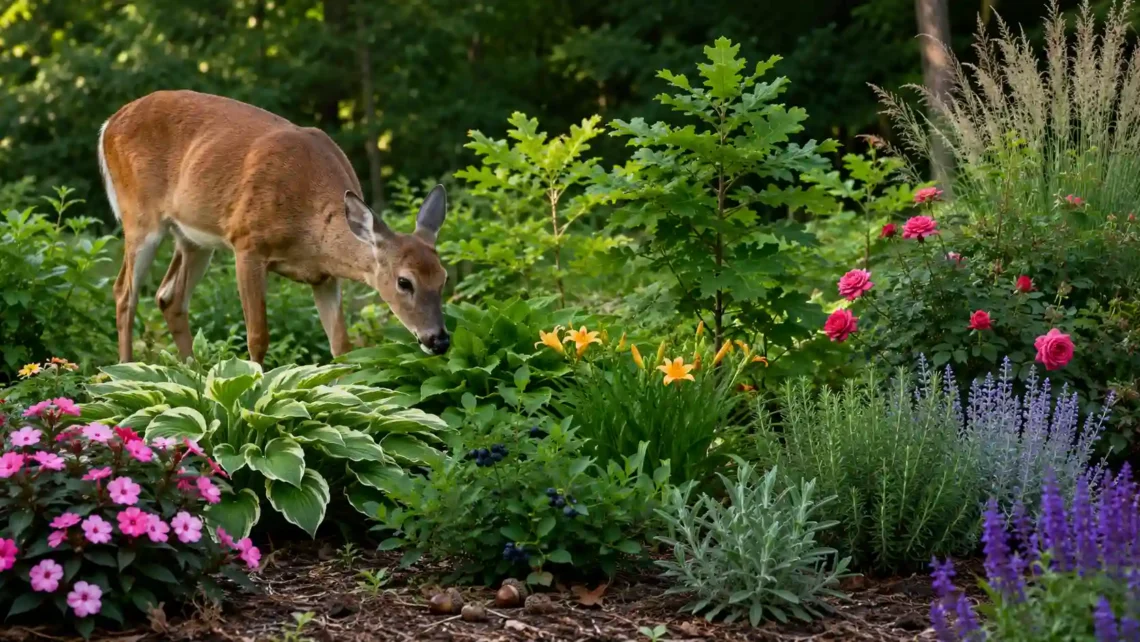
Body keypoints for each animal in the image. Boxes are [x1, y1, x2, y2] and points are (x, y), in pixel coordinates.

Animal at [97, 90, 451, 365]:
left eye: (443, 278)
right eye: (404, 281)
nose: (439, 340)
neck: (309, 232)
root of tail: (108, 124)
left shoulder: (324, 276)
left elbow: (341, 345)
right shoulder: (246, 243)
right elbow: (257, 336)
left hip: (193, 238)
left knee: (169, 297)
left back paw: (192, 374)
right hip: (140, 216)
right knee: (124, 292)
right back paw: (123, 374)